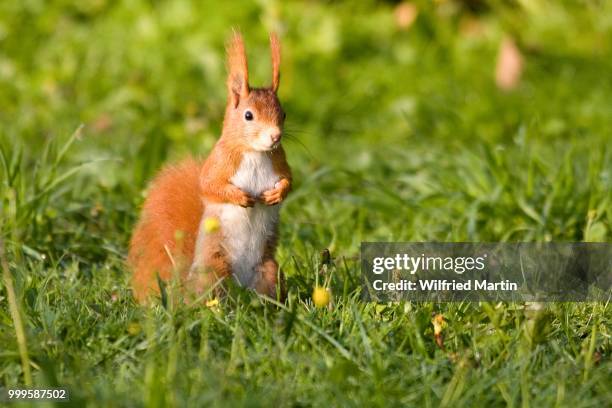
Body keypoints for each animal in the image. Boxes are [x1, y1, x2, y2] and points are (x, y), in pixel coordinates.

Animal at [127, 31, 292, 302]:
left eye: (284, 114)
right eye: (248, 115)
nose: (275, 136)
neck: (255, 152)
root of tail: (241, 285)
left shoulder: (279, 160)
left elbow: (289, 180)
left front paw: (277, 193)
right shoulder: (219, 161)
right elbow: (208, 185)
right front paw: (239, 197)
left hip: (269, 272)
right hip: (214, 270)